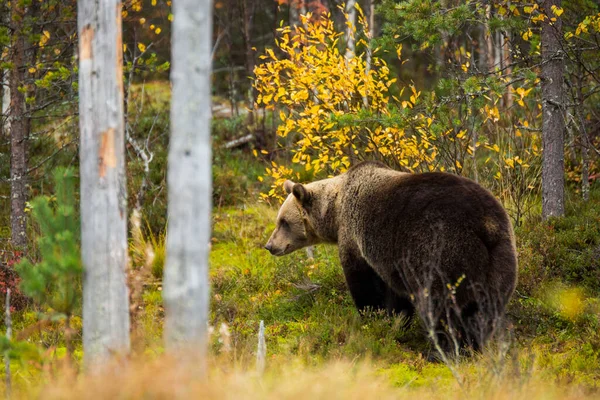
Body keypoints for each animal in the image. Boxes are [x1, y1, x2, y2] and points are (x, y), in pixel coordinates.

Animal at [264, 161, 516, 352]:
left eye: (284, 222)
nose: (269, 245)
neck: (335, 211)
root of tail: (485, 224)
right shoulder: (390, 260)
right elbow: (396, 294)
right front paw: (396, 320)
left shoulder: (356, 238)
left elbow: (364, 285)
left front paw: (372, 317)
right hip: (499, 257)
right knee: (486, 306)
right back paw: (474, 345)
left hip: (444, 250)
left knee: (441, 305)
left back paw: (444, 349)